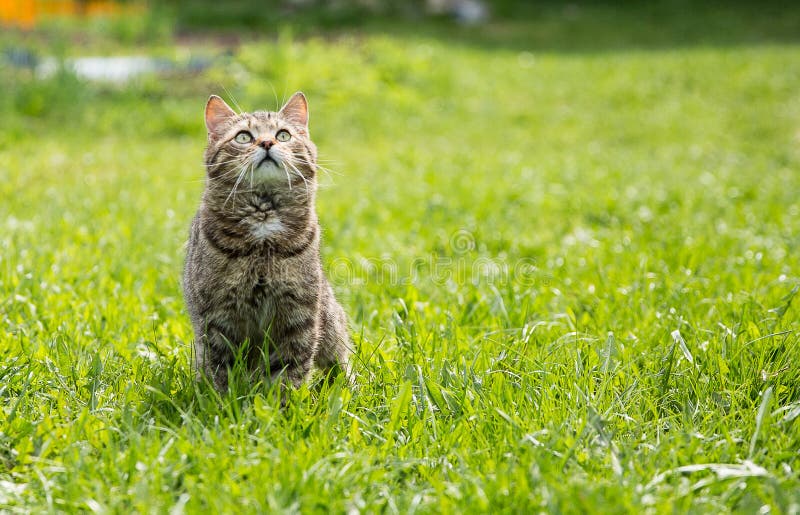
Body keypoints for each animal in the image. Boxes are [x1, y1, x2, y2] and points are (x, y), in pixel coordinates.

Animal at [186, 92, 354, 394]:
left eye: (283, 135)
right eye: (243, 137)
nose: (266, 143)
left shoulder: (298, 315)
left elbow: (291, 371)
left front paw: (283, 404)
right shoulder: (218, 319)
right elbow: (221, 372)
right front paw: (223, 401)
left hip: (330, 325)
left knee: (340, 363)